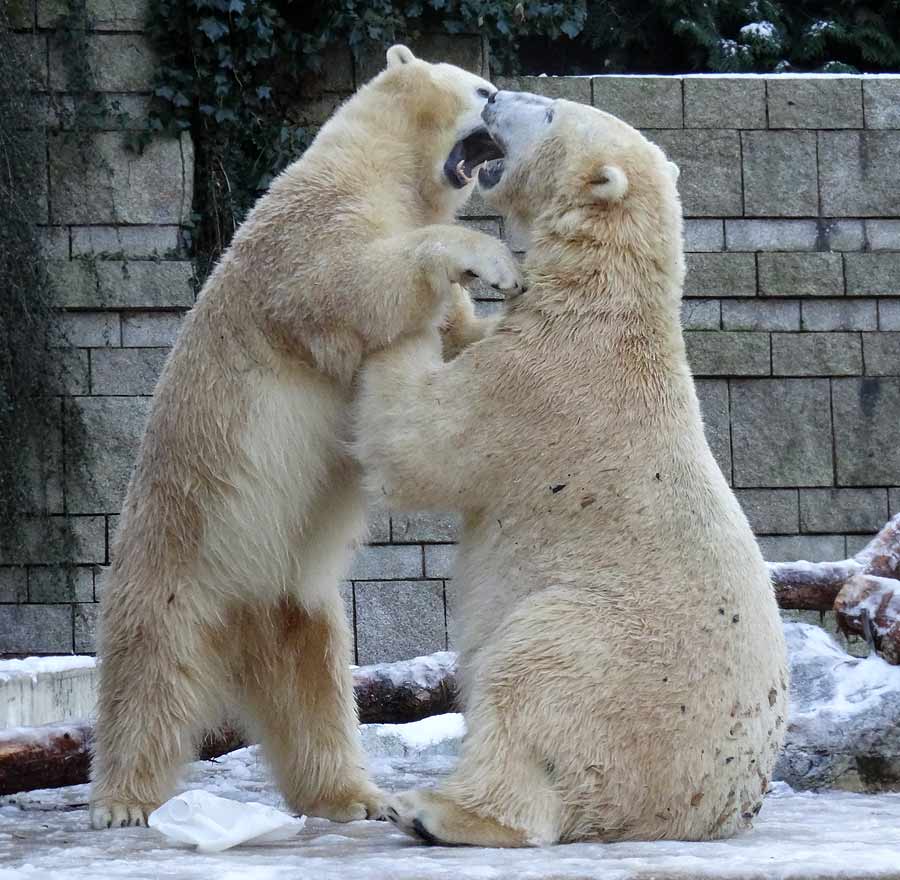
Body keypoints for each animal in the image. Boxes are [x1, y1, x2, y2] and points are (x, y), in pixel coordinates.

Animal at [89, 46, 520, 832]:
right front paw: (488, 260)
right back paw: (123, 801)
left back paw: (352, 795)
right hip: (178, 560)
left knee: (314, 685)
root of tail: (235, 640)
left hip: (294, 600)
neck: (377, 163)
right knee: (151, 674)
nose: (503, 99)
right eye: (482, 88)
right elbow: (346, 284)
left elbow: (454, 348)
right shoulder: (312, 226)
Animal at [352, 91, 788, 844]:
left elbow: (418, 443)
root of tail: (706, 807)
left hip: (613, 650)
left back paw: (439, 811)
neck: (600, 307)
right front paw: (461, 287)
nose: (494, 95)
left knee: (531, 677)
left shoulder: (538, 388)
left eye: (552, 110)